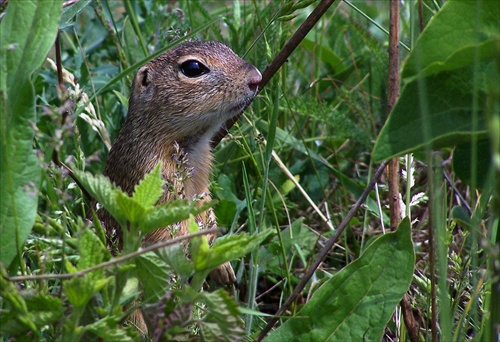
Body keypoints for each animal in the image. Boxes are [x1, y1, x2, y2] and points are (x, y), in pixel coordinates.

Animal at [98, 40, 262, 288]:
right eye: (193, 68)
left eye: (226, 47)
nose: (257, 78)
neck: (191, 145)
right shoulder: (155, 181)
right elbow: (175, 231)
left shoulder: (203, 177)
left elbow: (207, 211)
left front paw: (222, 266)